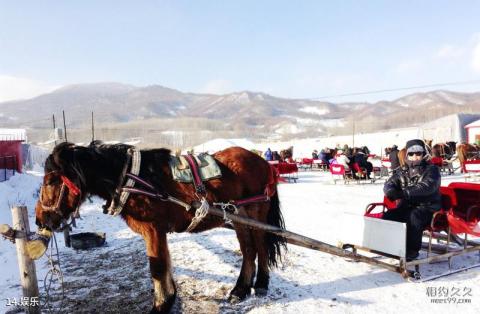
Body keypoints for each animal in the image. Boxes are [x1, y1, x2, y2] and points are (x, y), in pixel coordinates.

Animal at [37, 142, 286, 314]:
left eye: (50, 182)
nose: (40, 220)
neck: (132, 178)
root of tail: (262, 162)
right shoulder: (157, 233)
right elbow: (164, 265)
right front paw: (169, 298)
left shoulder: (153, 230)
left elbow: (156, 268)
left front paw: (161, 304)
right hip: (239, 217)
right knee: (248, 251)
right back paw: (240, 290)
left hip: (256, 212)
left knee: (261, 248)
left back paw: (261, 284)